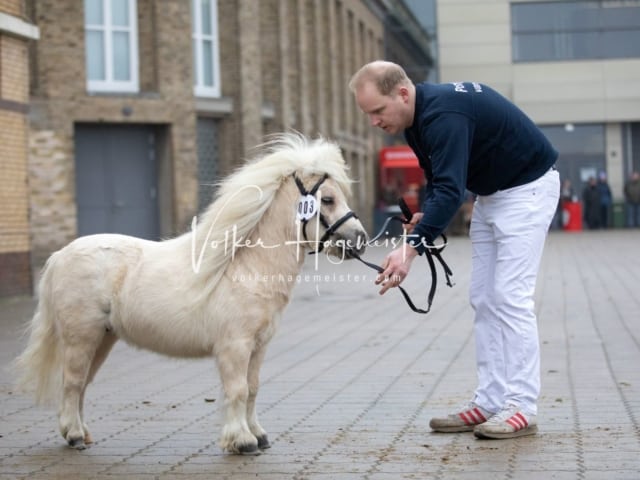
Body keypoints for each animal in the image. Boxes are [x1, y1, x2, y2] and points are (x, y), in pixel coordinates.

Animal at [13, 133, 364, 456]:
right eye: (328, 199)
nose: (359, 239)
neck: (243, 266)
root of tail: (60, 255)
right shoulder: (235, 346)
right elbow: (237, 390)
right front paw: (242, 441)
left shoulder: (258, 347)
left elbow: (252, 389)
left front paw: (258, 435)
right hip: (81, 337)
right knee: (72, 383)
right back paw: (73, 435)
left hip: (103, 338)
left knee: (82, 384)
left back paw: (83, 434)